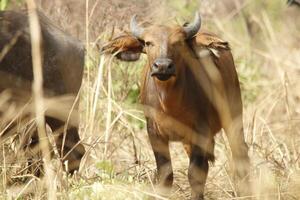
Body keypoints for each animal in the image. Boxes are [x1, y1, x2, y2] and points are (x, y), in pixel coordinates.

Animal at [103, 13, 251, 199]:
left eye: (178, 42)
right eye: (148, 43)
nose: (163, 66)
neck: (170, 105)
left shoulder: (201, 131)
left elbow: (195, 174)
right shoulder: (154, 133)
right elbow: (165, 173)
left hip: (233, 117)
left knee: (240, 152)